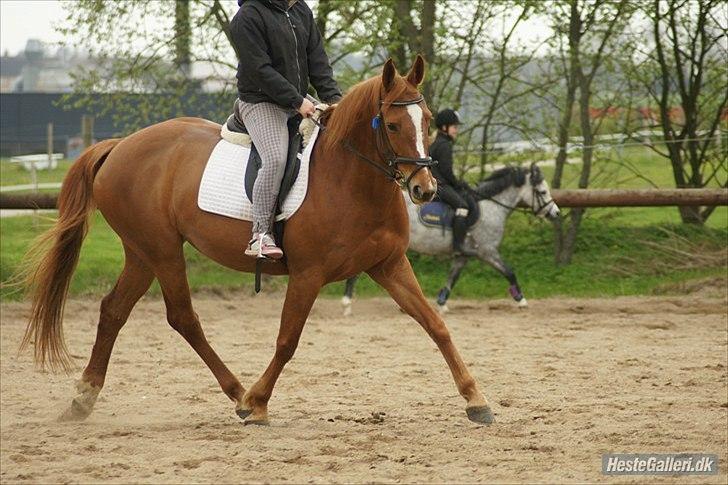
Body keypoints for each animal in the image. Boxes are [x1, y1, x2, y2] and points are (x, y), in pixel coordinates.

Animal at [19, 56, 494, 426]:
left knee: (114, 310)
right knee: (183, 317)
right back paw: (238, 394)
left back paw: (83, 398)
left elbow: (436, 325)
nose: (425, 190)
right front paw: (259, 402)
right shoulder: (307, 274)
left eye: (427, 121)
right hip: (162, 249)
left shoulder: (390, 265)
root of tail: (119, 146)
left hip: (141, 253)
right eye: (393, 125)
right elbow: (287, 340)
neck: (352, 181)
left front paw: (476, 400)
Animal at [340, 164, 556, 314]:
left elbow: (453, 277)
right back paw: (346, 304)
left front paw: (442, 303)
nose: (555, 213)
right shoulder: (487, 251)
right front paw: (521, 300)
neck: (491, 207)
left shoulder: (463, 256)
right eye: (543, 192)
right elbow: (509, 272)